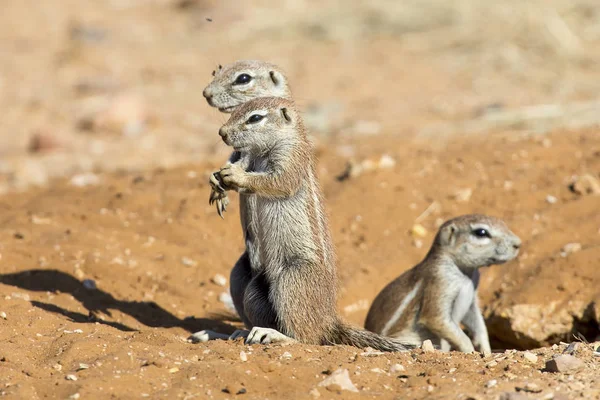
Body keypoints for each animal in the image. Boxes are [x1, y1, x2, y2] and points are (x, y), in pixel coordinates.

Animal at [192, 96, 412, 350]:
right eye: (236, 110)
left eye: (255, 118)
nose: (222, 133)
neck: (265, 151)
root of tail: (328, 320)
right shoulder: (249, 158)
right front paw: (216, 179)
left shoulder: (291, 161)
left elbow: (276, 182)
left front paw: (235, 176)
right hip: (255, 289)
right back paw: (235, 332)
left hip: (292, 277)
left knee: (307, 338)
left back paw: (273, 335)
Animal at [360, 214, 520, 354]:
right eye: (481, 232)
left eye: (503, 223)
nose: (518, 244)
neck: (465, 275)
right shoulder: (440, 281)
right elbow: (437, 319)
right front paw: (470, 351)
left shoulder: (472, 301)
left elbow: (478, 324)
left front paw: (486, 350)